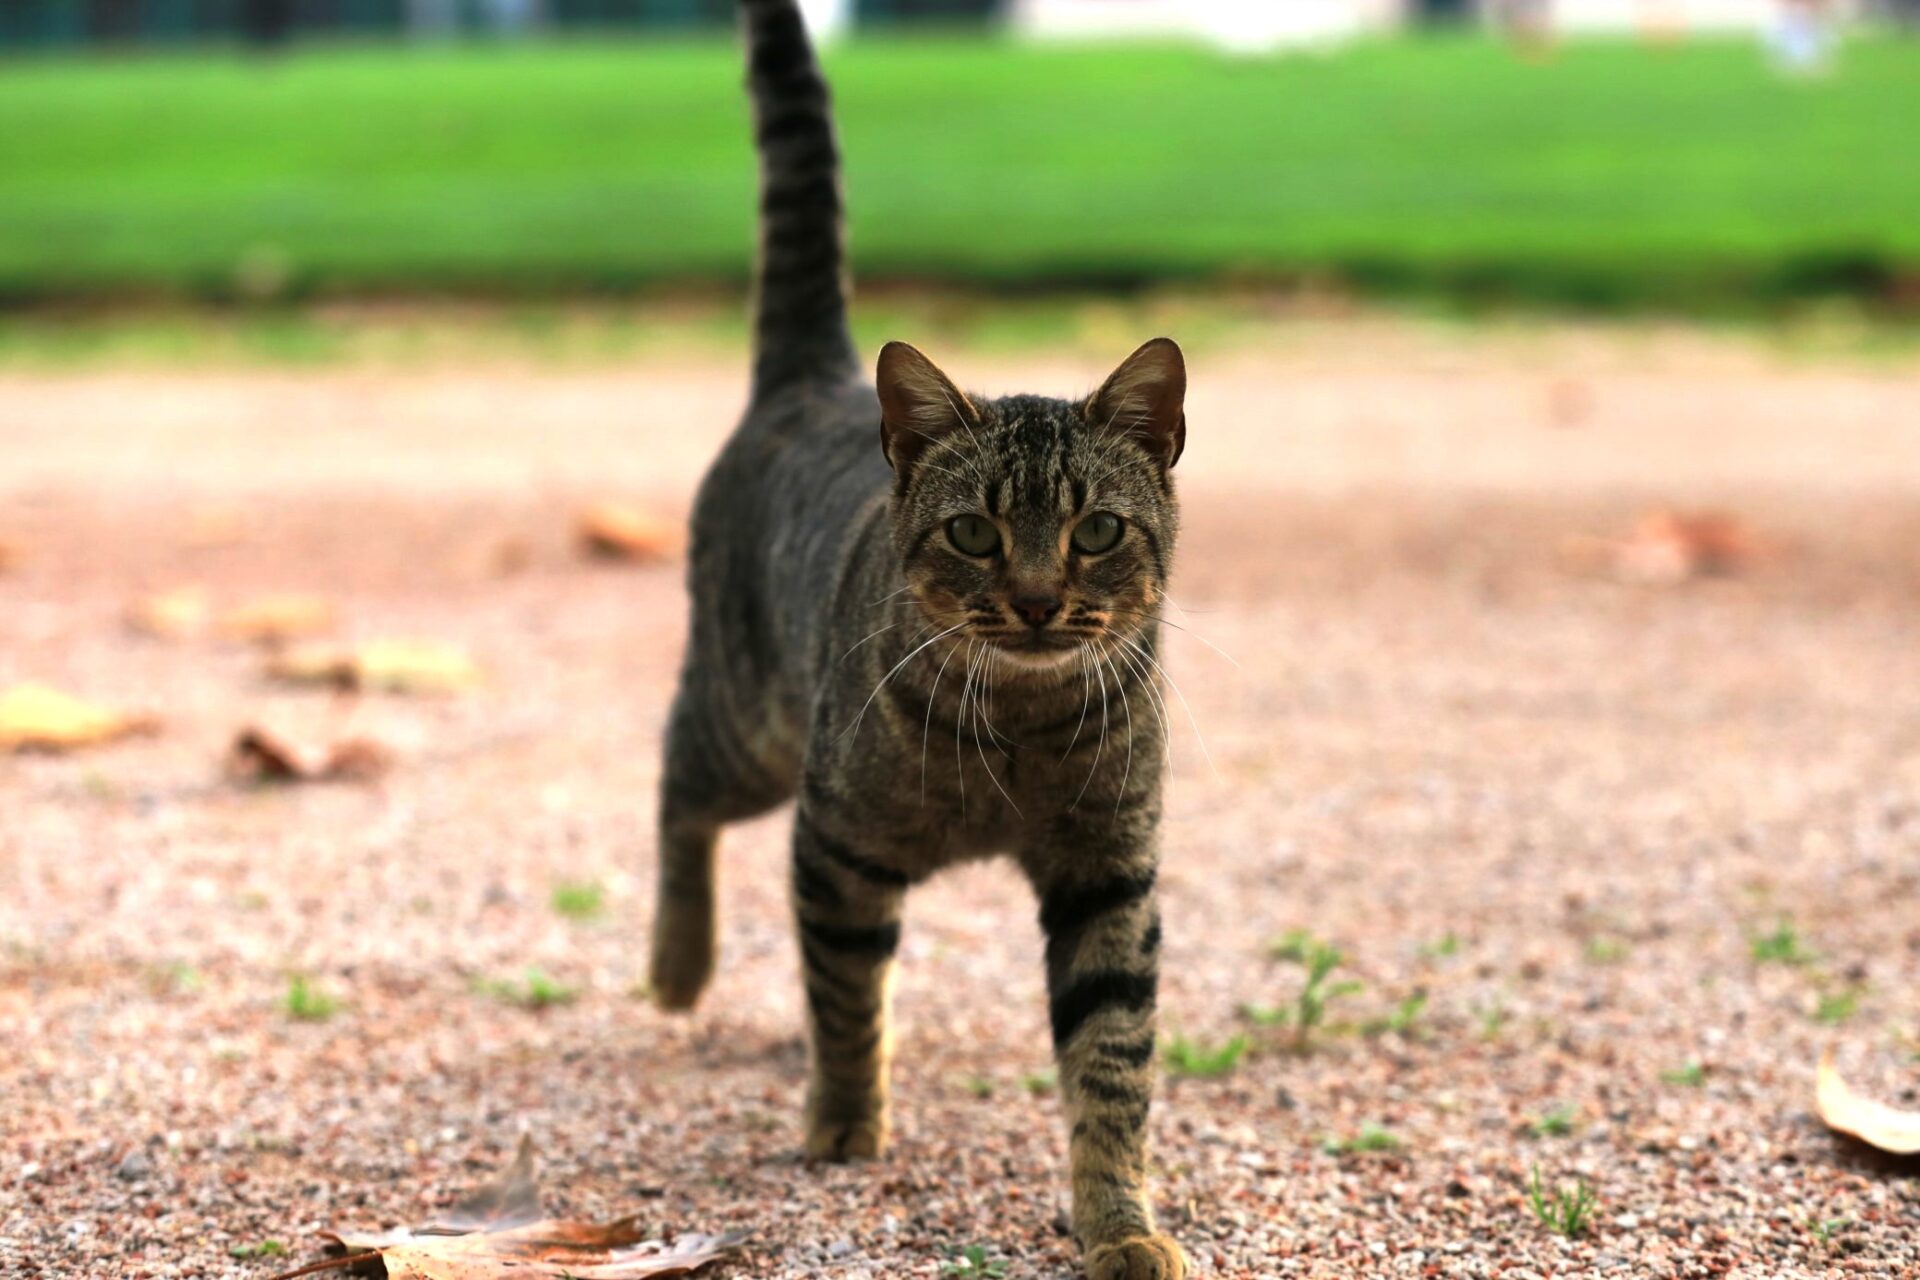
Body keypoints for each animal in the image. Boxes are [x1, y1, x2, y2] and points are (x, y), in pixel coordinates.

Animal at [656, 5, 1182, 1274]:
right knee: (676, 790)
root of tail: (818, 376)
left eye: (1096, 529)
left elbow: (1110, 1068)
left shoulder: (1111, 875)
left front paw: (1120, 1221)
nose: (1037, 599)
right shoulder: (836, 840)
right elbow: (844, 995)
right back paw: (678, 963)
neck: (1020, 732)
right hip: (747, 728)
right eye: (975, 531)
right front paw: (846, 1121)